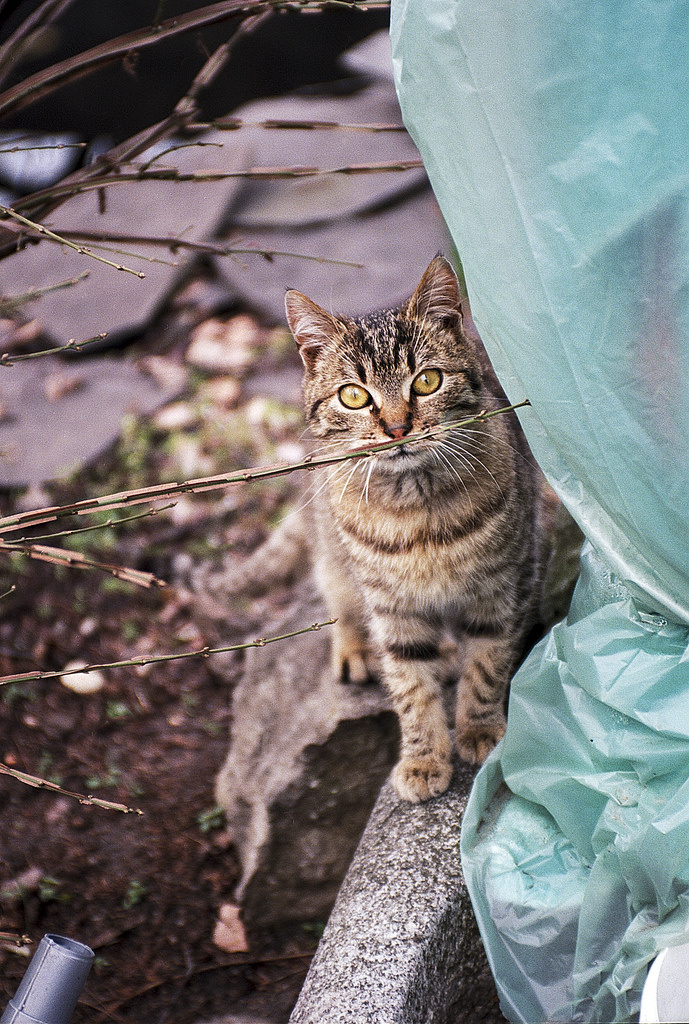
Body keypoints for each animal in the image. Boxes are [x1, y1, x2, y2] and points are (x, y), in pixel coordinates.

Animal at [282, 256, 552, 798]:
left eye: (426, 382)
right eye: (353, 396)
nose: (397, 428)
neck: (417, 508)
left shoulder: (505, 586)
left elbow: (487, 664)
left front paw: (480, 730)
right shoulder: (392, 609)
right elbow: (409, 685)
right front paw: (424, 758)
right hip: (332, 555)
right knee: (337, 596)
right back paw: (356, 649)